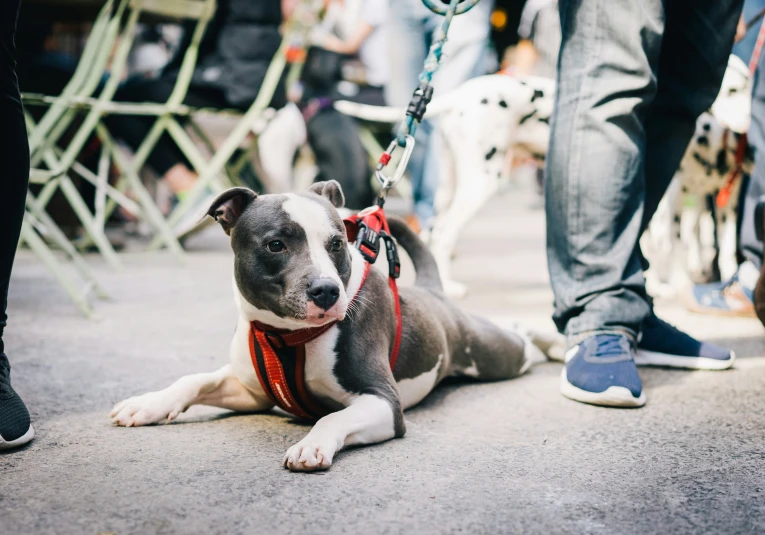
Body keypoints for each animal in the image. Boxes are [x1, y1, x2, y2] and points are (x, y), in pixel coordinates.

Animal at [110, 182, 560, 472]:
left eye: (336, 244)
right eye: (276, 244)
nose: (326, 290)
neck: (285, 335)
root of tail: (434, 292)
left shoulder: (384, 403)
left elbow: (332, 418)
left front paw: (311, 444)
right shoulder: (251, 392)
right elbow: (194, 379)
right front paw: (148, 404)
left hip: (492, 352)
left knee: (521, 339)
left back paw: (553, 342)